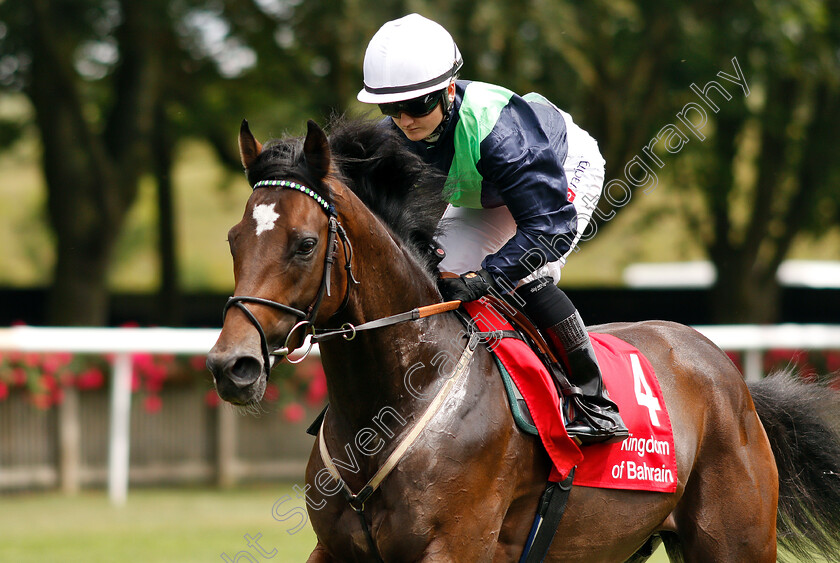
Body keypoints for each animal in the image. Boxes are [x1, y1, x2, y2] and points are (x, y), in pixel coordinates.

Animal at [207, 117, 840, 560]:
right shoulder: (337, 548)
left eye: (305, 243)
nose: (231, 365)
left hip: (736, 540)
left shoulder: (453, 548)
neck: (395, 401)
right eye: (234, 238)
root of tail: (730, 374)